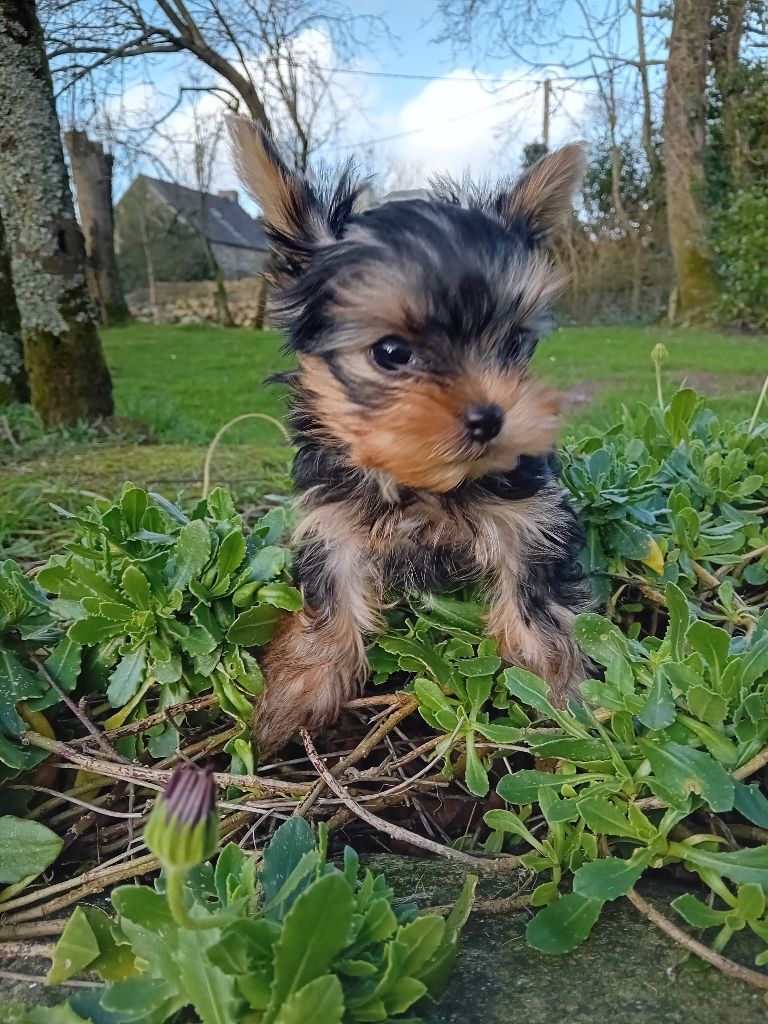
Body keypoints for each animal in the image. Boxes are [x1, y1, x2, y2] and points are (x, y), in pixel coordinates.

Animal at [231, 119, 593, 749]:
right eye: (391, 353)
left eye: (514, 343)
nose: (490, 418)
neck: (424, 482)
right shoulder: (333, 520)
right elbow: (332, 594)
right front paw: (295, 691)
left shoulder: (532, 518)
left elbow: (534, 602)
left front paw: (560, 700)